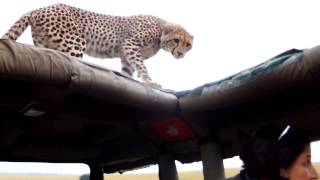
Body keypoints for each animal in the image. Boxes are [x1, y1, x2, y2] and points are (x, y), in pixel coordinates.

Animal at [2, 3, 192, 86]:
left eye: (188, 45)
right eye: (176, 40)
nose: (181, 54)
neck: (161, 33)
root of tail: (39, 9)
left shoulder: (126, 54)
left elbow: (128, 70)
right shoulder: (130, 44)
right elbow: (141, 65)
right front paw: (149, 82)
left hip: (46, 46)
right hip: (75, 43)